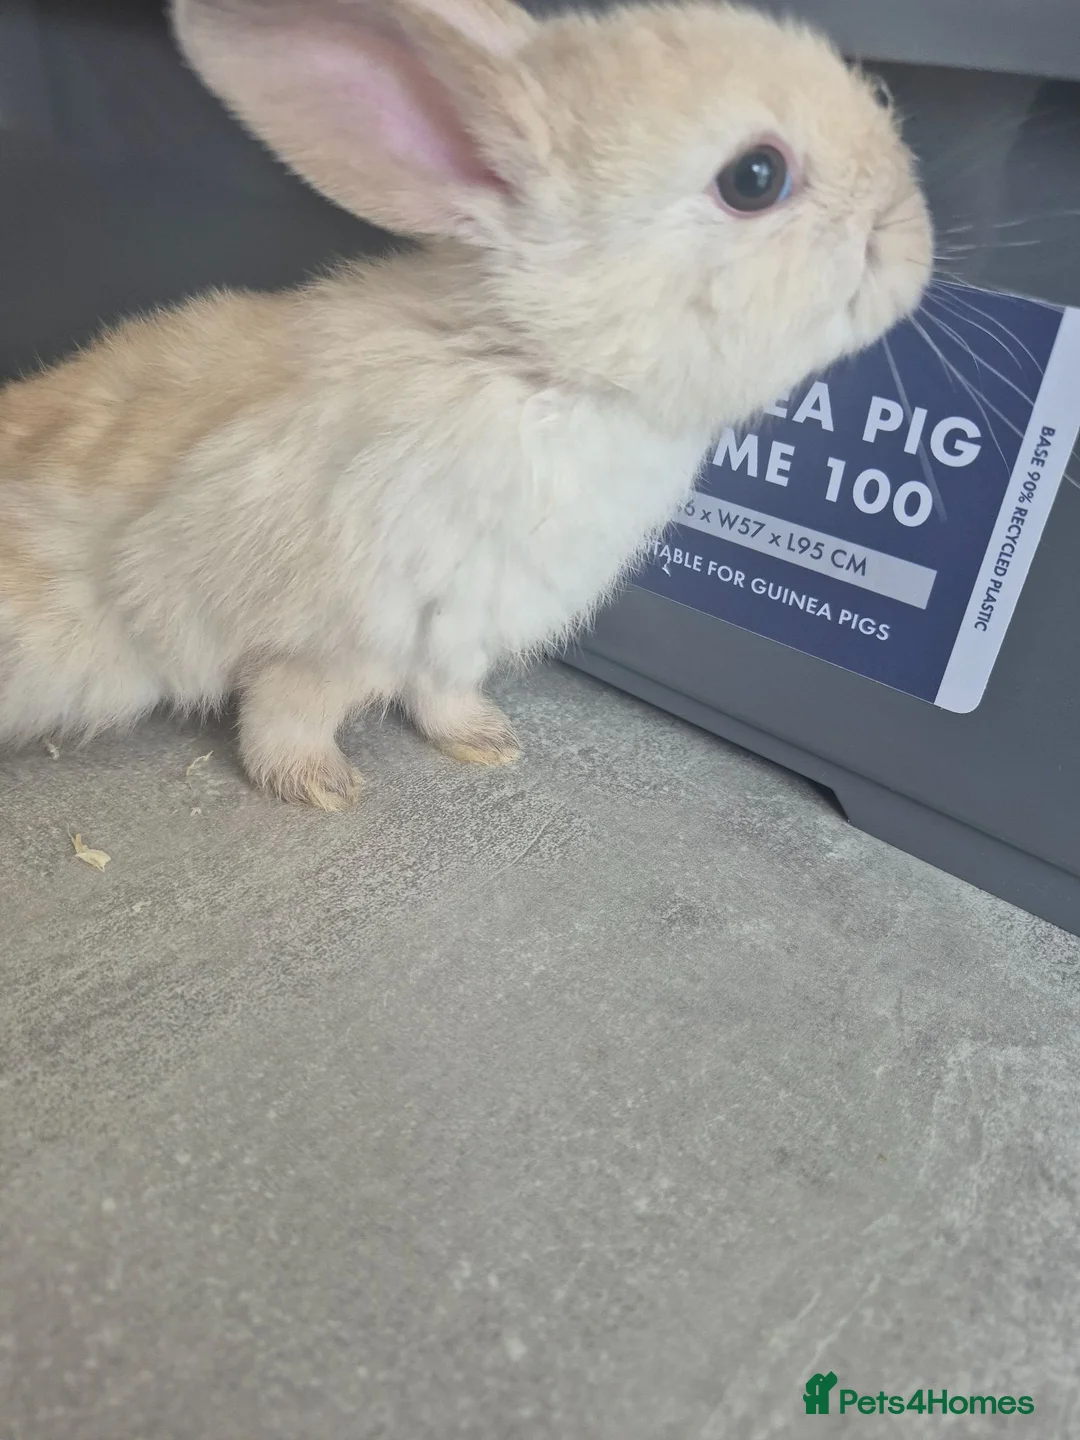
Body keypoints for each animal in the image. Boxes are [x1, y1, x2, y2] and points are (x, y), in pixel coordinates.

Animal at [0, 0, 932, 809]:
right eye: (755, 176)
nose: (915, 237)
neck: (537, 368)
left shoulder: (457, 633)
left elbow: (442, 694)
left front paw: (488, 742)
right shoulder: (337, 639)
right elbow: (287, 713)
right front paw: (324, 789)